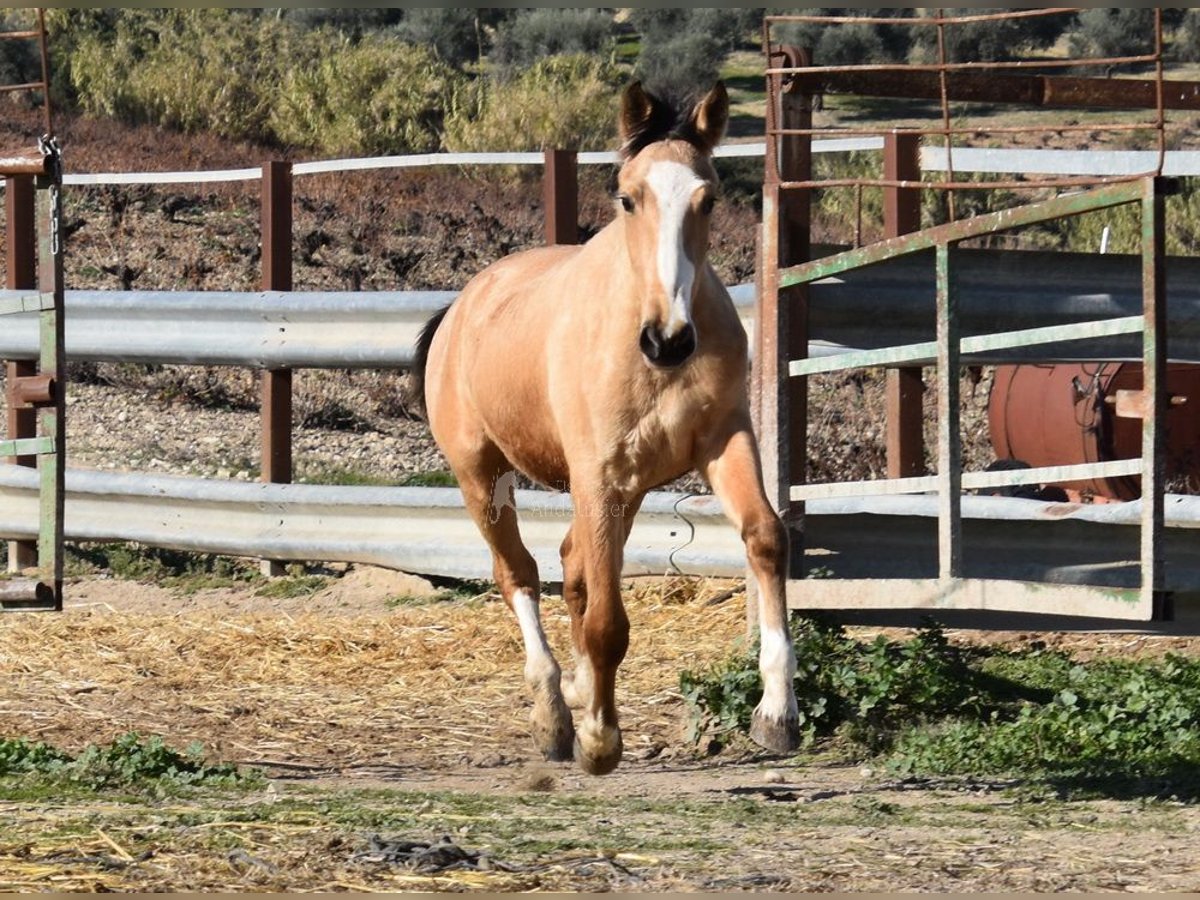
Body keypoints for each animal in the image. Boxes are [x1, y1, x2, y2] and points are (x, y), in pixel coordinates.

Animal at [410, 81, 796, 777]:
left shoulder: (724, 442)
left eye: (708, 198)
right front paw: (599, 738)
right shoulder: (598, 475)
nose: (668, 340)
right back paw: (554, 715)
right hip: (483, 476)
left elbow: (765, 538)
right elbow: (607, 623)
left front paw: (778, 715)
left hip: (626, 489)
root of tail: (461, 307)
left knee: (571, 566)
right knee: (520, 574)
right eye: (628, 196)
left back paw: (577, 691)